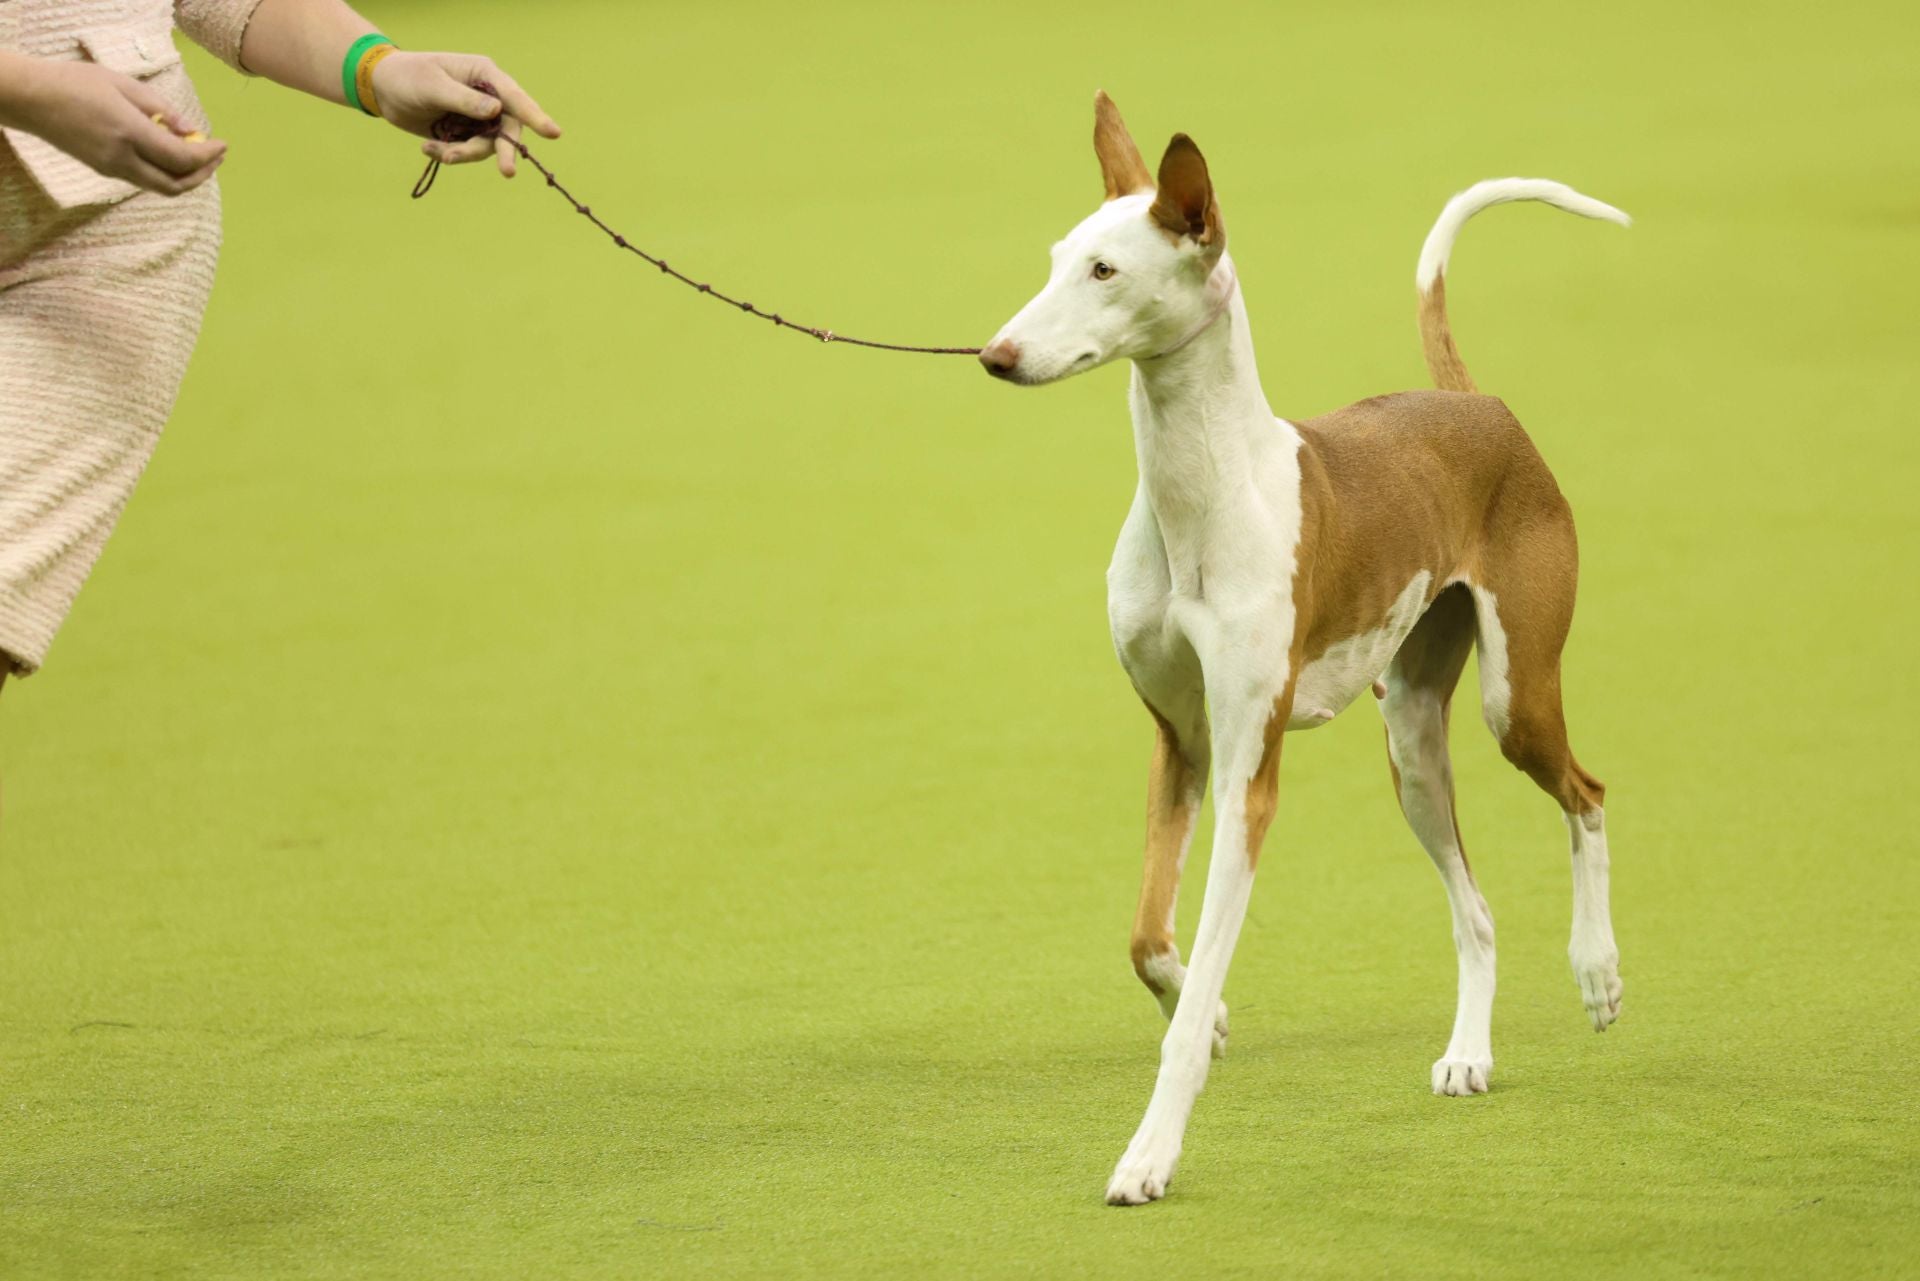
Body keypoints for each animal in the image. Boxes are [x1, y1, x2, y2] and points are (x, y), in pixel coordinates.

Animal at [983, 95, 1628, 1206]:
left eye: (1105, 271)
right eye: (1060, 256)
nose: (996, 353)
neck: (1203, 500)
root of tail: (1474, 400)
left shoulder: (1249, 771)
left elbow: (1193, 987)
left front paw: (1150, 1154)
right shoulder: (1182, 744)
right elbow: (1150, 939)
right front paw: (1207, 1009)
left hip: (1516, 697)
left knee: (1585, 794)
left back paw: (1596, 973)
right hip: (1411, 742)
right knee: (1477, 911)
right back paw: (1469, 1052)